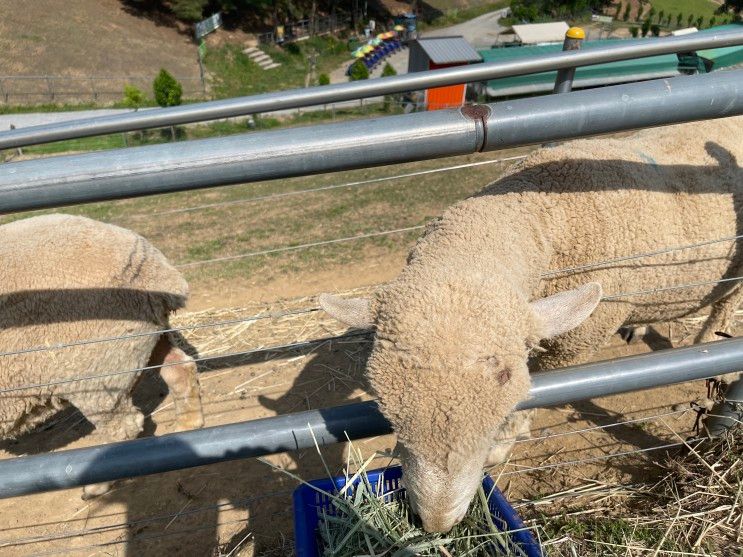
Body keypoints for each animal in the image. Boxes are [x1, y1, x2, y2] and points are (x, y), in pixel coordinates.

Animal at [0, 215, 203, 498]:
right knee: (180, 369)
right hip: (141, 337)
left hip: (92, 370)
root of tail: (155, 269)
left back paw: (96, 485)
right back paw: (186, 428)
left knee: (124, 426)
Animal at [322, 115, 743, 532]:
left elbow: (538, 391)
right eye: (384, 405)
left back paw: (706, 349)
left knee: (725, 304)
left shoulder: (575, 343)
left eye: (506, 387)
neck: (547, 203)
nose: (436, 523)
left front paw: (503, 444)